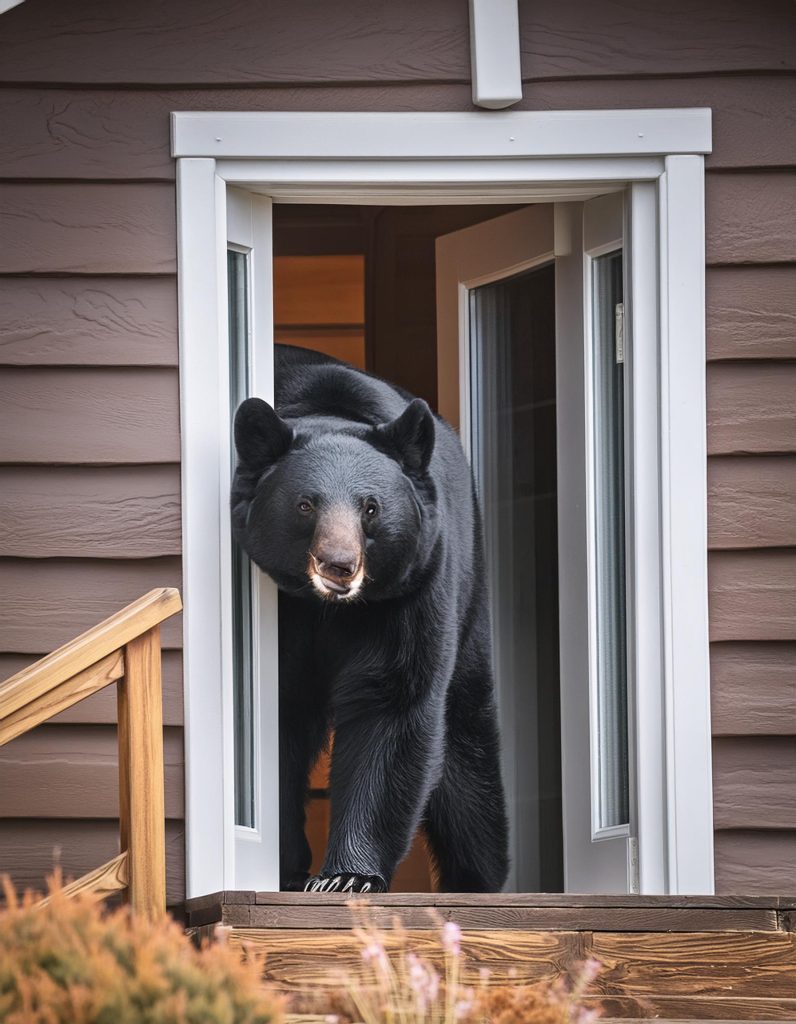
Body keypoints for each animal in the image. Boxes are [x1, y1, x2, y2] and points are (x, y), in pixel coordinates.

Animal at [229, 344, 506, 888]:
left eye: (371, 508)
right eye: (305, 504)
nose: (339, 565)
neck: (325, 608)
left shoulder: (412, 587)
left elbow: (392, 703)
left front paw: (347, 876)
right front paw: (289, 865)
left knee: (467, 742)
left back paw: (479, 875)